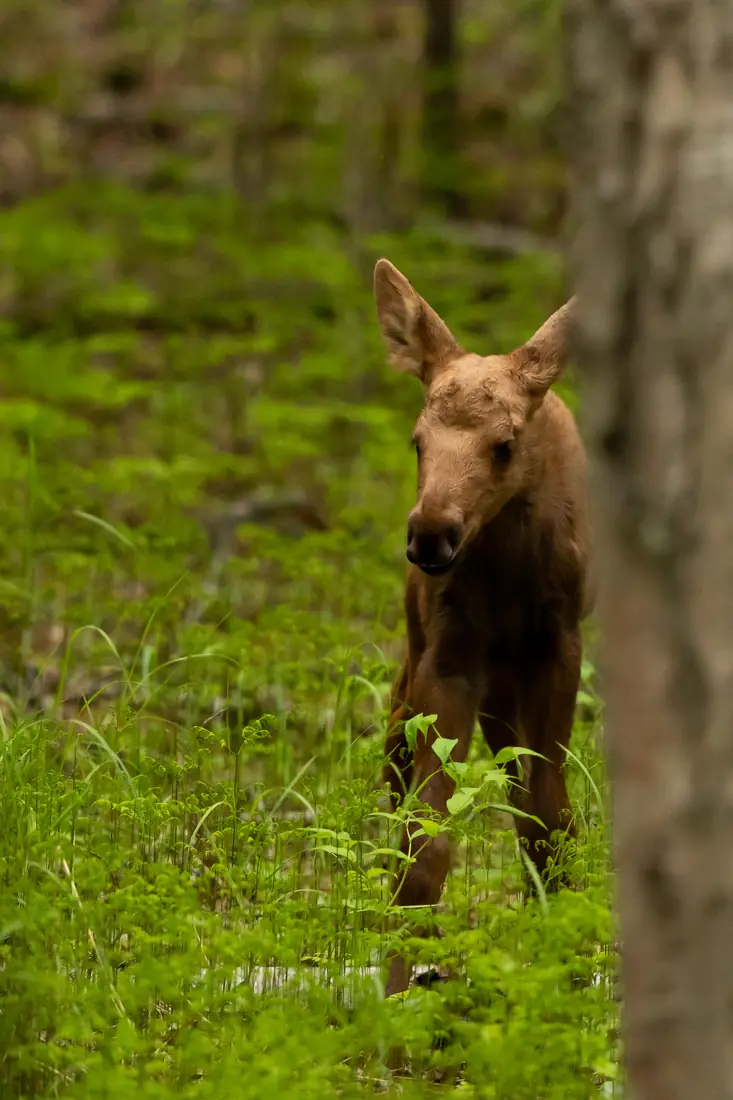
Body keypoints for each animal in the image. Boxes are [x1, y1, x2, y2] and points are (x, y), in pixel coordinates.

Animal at [373, 259, 591, 997]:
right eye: (417, 441)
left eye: (504, 445)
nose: (431, 533)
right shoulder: (447, 656)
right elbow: (425, 836)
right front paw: (397, 981)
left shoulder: (558, 647)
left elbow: (549, 816)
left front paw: (568, 965)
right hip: (417, 663)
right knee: (391, 771)